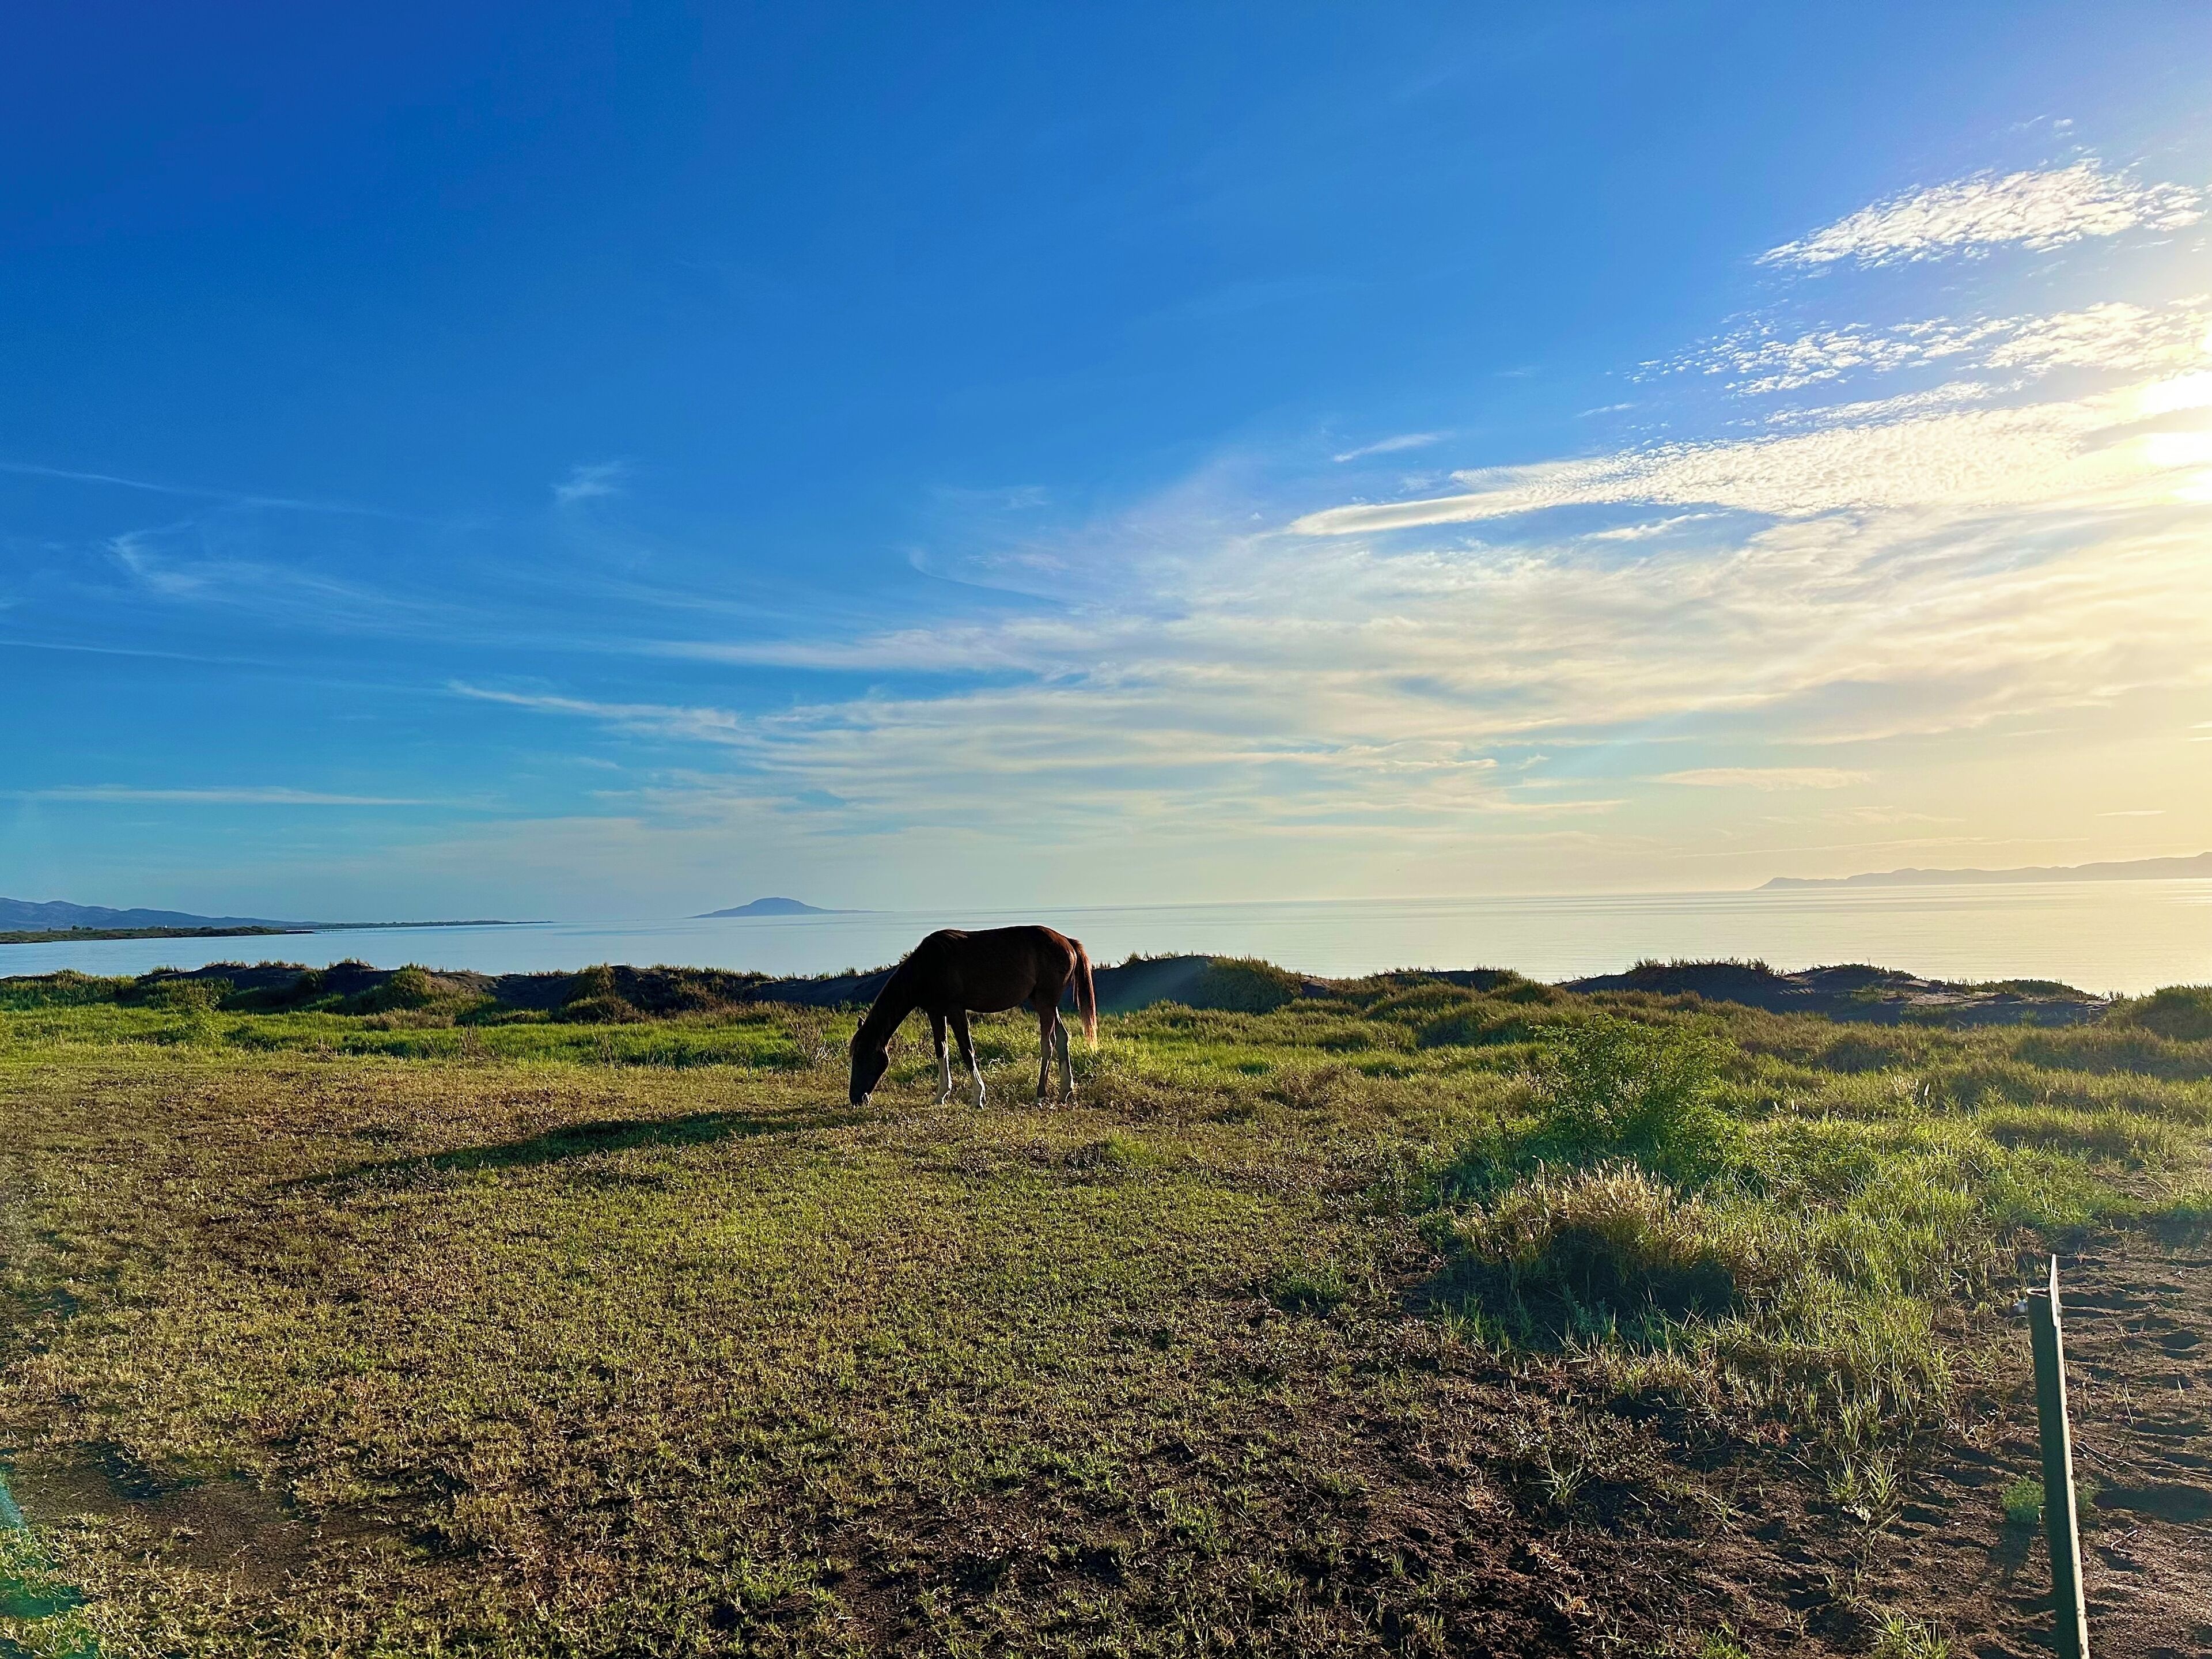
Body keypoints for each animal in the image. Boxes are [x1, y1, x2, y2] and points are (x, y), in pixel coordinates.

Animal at [848, 925, 1097, 1108]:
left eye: (861, 1057)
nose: (856, 1098)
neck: (926, 967)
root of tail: (1068, 942)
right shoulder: (936, 1012)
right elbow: (942, 1049)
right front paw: (941, 1095)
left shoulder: (955, 1010)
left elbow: (967, 1050)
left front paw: (978, 1096)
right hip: (1044, 1003)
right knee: (1063, 1038)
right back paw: (1065, 1091)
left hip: (1045, 1003)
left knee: (1049, 1043)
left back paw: (1040, 1095)